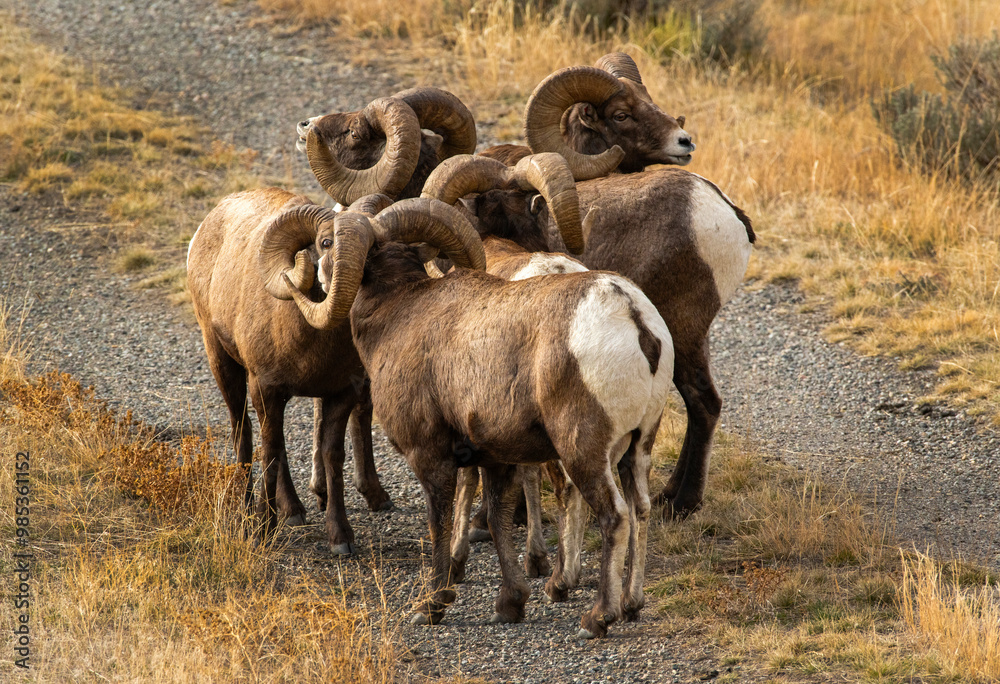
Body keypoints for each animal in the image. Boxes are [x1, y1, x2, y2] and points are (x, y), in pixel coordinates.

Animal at [187, 188, 402, 554]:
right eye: (326, 242)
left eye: (375, 244)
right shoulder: (265, 387)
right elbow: (270, 451)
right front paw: (262, 529)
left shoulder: (340, 393)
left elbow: (331, 455)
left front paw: (340, 539)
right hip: (223, 362)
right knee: (244, 434)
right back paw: (250, 510)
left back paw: (294, 511)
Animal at [264, 194, 673, 638]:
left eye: (325, 242)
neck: (398, 314)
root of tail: (632, 315)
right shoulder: (495, 458)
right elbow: (495, 520)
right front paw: (510, 604)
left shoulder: (430, 455)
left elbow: (440, 523)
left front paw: (432, 606)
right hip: (638, 448)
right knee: (640, 509)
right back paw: (631, 605)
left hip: (584, 452)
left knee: (613, 516)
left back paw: (596, 617)